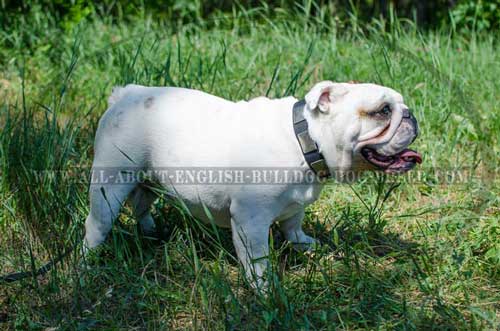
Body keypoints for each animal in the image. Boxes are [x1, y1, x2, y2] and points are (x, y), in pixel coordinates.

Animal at [84, 82, 420, 288]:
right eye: (382, 111)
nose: (411, 116)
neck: (305, 140)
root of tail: (126, 94)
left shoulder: (294, 207)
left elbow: (293, 226)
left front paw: (304, 244)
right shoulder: (251, 220)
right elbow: (257, 259)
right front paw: (264, 290)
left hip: (148, 180)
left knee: (141, 205)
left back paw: (151, 231)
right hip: (110, 186)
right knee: (98, 224)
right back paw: (87, 263)